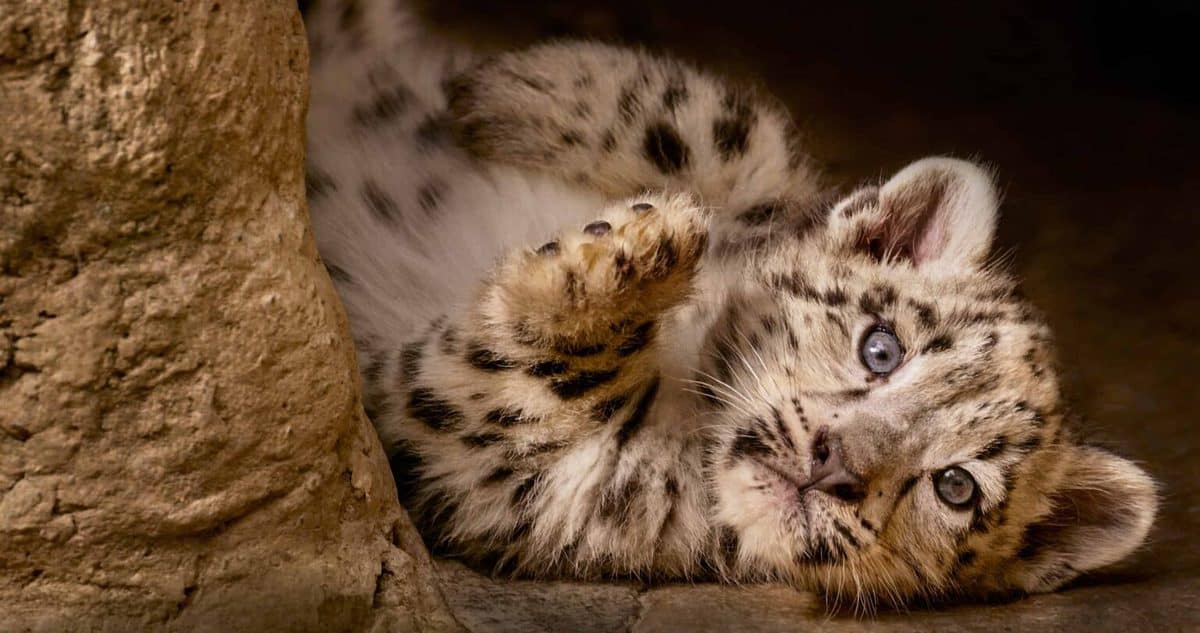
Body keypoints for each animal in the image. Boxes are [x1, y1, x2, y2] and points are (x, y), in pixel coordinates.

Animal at [303, 0, 1158, 608]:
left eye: (957, 486)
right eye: (881, 347)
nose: (835, 463)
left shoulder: (527, 470)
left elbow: (536, 380)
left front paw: (624, 249)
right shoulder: (750, 172)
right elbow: (734, 136)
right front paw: (505, 93)